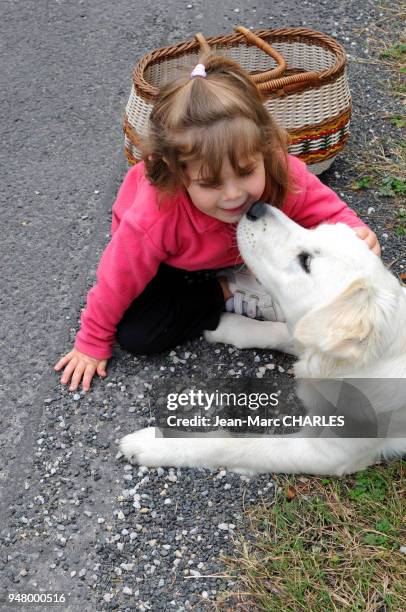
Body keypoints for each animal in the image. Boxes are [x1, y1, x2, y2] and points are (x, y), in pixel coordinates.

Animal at [119, 203, 406, 476]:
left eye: (305, 261)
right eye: (315, 229)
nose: (256, 206)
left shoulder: (327, 452)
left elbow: (231, 443)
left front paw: (156, 443)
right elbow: (275, 332)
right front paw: (226, 324)